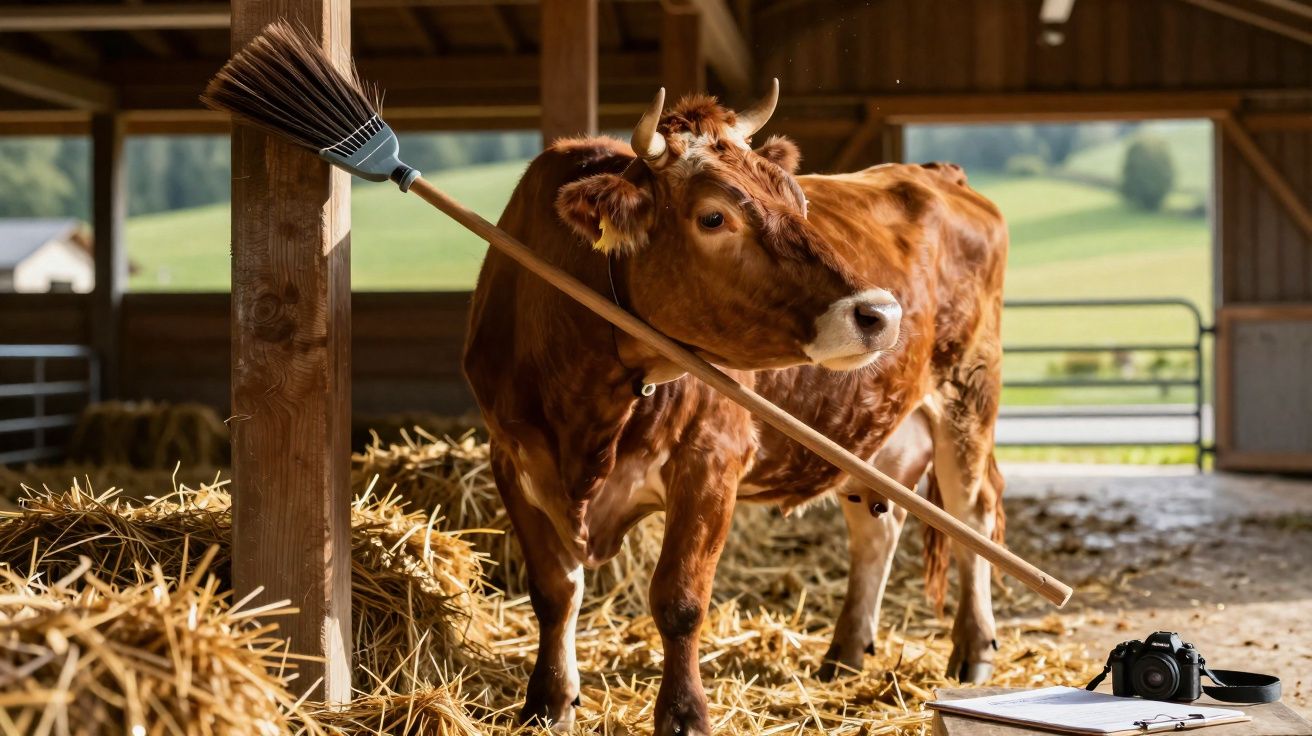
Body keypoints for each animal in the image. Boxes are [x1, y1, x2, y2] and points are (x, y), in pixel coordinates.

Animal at [462, 83, 1008, 735]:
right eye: (713, 216)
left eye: (798, 201)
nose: (881, 313)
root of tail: (935, 173)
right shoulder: (511, 458)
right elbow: (553, 590)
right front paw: (547, 702)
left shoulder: (711, 459)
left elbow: (679, 599)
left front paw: (684, 715)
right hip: (868, 437)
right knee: (875, 529)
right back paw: (845, 654)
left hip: (967, 395)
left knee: (973, 515)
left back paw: (974, 650)